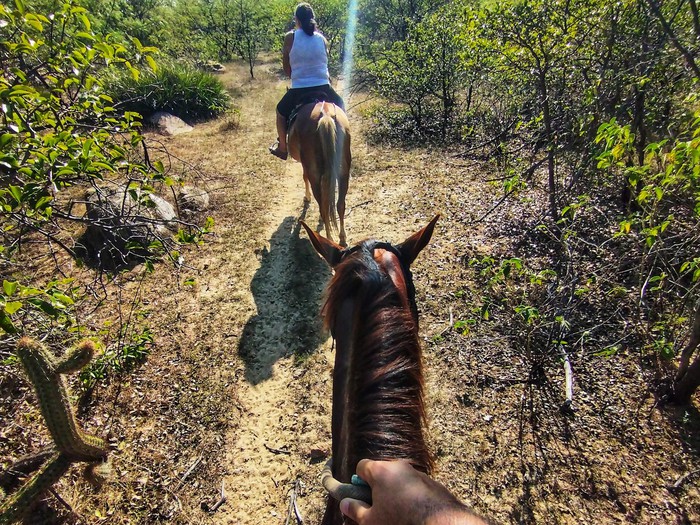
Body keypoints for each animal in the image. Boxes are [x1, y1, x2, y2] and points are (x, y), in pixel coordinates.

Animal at [288, 102, 350, 246]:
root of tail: (325, 115)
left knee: (323, 207)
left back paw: (328, 239)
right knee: (340, 204)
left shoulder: (305, 165)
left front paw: (307, 197)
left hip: (315, 175)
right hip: (344, 172)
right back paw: (342, 238)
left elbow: (304, 177)